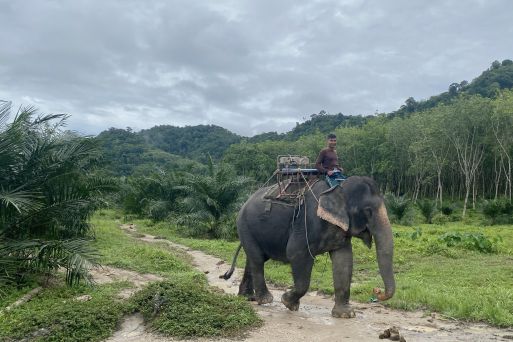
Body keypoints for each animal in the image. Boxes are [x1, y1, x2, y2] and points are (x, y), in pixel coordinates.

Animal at [218, 176, 394, 318]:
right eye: (368, 211)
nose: (377, 291)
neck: (337, 187)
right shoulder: (306, 223)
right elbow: (296, 253)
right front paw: (288, 302)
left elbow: (344, 261)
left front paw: (346, 315)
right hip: (244, 226)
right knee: (257, 259)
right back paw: (265, 300)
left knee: (253, 258)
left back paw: (248, 297)